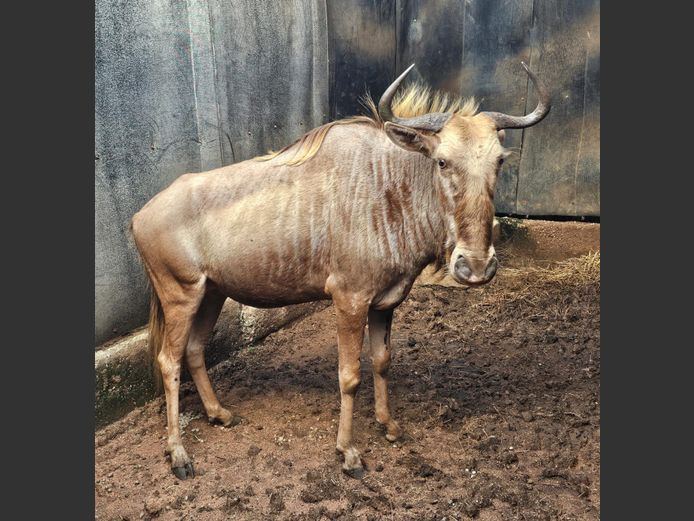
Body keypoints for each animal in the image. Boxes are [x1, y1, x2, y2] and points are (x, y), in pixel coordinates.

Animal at [131, 62, 550, 480]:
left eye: (499, 160)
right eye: (443, 160)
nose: (476, 266)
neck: (387, 188)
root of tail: (140, 216)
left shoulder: (385, 302)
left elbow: (382, 362)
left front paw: (388, 425)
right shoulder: (349, 299)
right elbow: (350, 376)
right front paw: (349, 453)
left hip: (212, 294)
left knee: (195, 350)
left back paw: (219, 414)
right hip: (181, 295)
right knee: (169, 361)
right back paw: (179, 455)